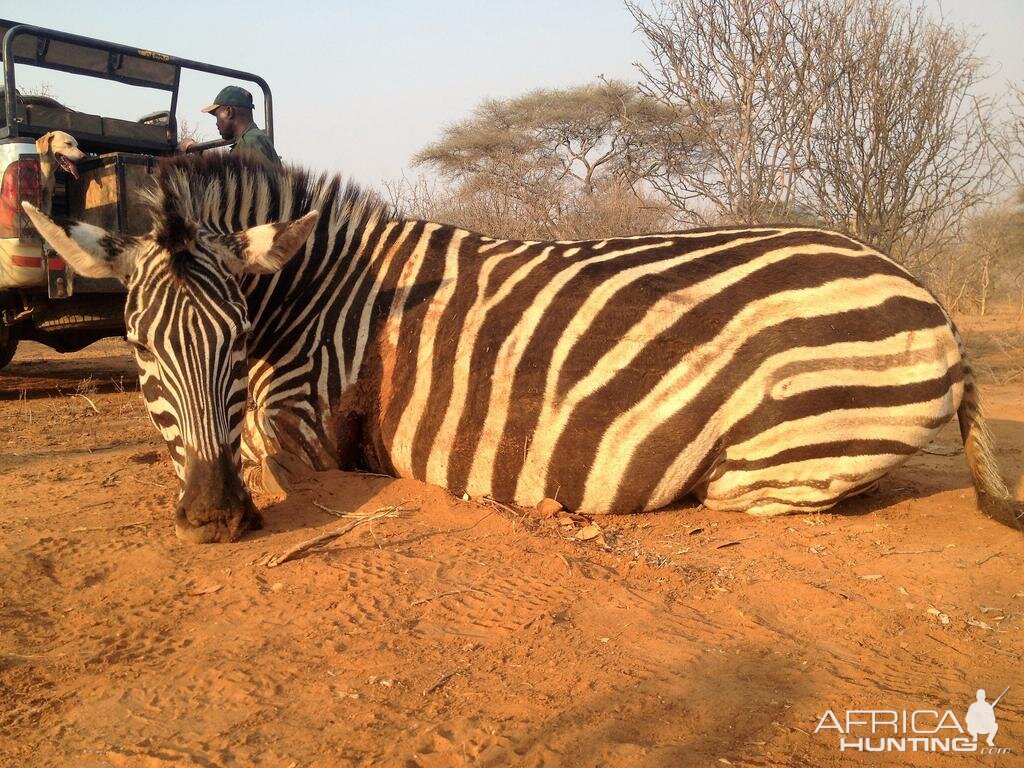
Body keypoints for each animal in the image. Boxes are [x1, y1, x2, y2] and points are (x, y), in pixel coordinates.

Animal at [19, 153, 1019, 544]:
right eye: (138, 349)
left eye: (234, 343)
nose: (215, 519)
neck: (311, 296)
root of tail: (927, 294)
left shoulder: (298, 427)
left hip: (776, 456)